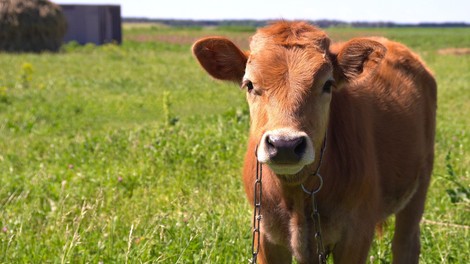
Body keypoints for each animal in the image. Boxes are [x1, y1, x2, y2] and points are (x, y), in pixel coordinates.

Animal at [191, 21, 436, 262]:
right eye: (249, 84)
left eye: (327, 84)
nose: (285, 145)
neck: (296, 196)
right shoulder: (265, 236)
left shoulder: (356, 235)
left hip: (420, 184)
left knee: (405, 244)